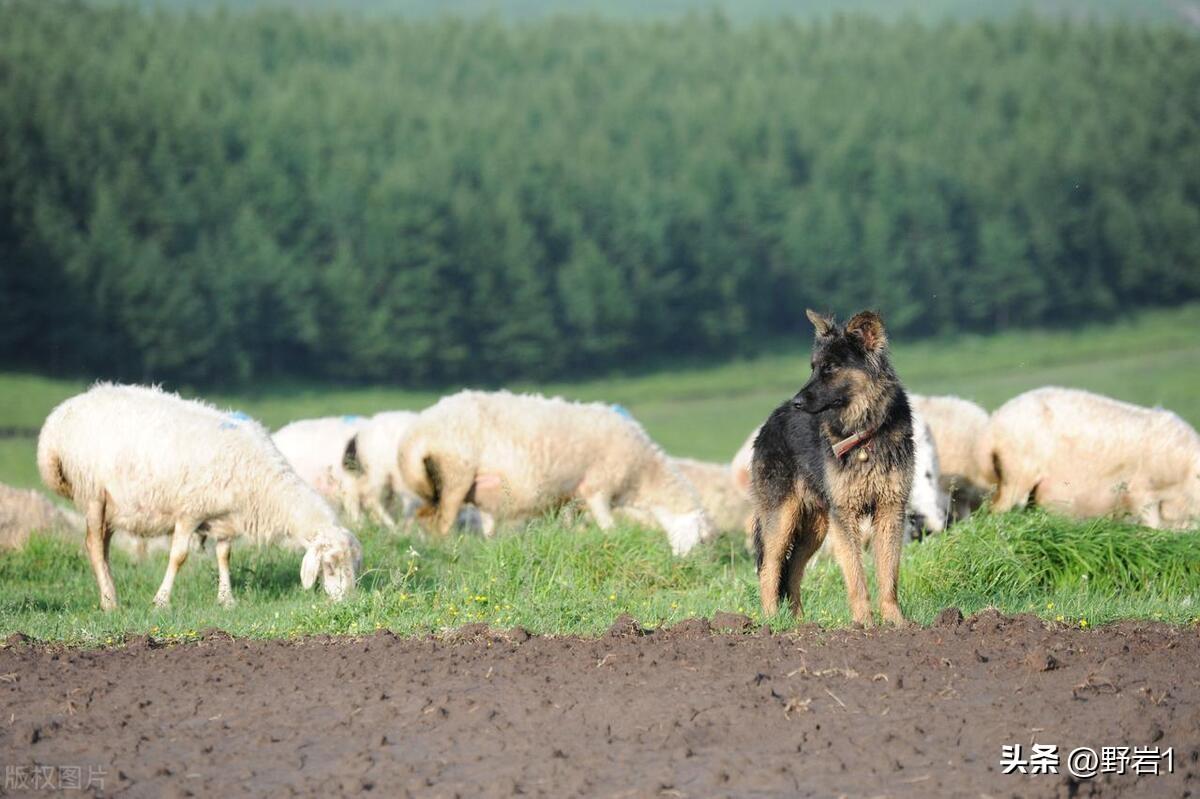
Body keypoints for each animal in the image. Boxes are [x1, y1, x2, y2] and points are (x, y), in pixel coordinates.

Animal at [39, 383, 362, 607]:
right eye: (329, 565)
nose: (345, 601)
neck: (262, 486)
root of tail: (58, 419)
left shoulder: (225, 519)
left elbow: (224, 556)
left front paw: (226, 599)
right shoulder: (189, 511)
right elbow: (178, 557)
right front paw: (161, 601)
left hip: (111, 505)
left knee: (103, 546)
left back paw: (110, 592)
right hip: (93, 492)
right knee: (93, 545)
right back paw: (110, 601)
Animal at [398, 386, 710, 551]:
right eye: (703, 540)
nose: (690, 566)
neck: (643, 474)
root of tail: (415, 434)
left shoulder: (572, 498)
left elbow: (570, 526)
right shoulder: (598, 488)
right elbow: (609, 528)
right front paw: (612, 544)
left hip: (437, 487)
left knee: (425, 517)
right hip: (454, 474)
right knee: (442, 524)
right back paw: (447, 549)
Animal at [753, 307, 912, 623]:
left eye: (829, 368)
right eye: (813, 367)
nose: (797, 402)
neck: (863, 432)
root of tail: (769, 423)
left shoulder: (890, 510)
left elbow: (889, 575)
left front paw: (896, 623)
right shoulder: (845, 515)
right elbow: (856, 576)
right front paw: (864, 623)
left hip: (815, 526)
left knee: (792, 569)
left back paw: (800, 623)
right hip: (783, 519)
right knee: (770, 568)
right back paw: (772, 621)